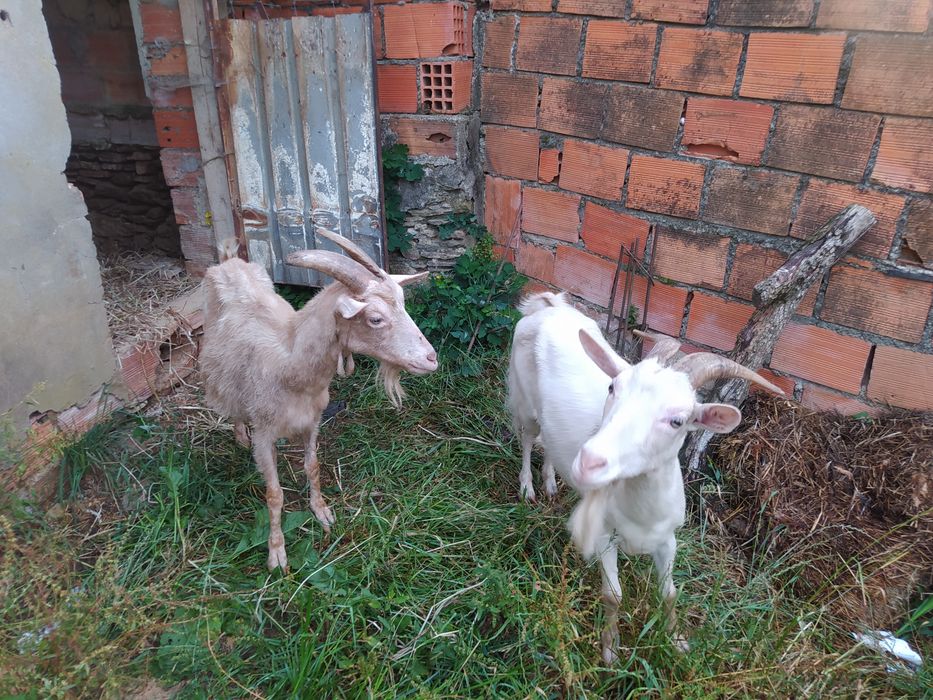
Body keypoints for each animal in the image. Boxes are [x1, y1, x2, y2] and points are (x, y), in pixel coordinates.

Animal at [200, 229, 437, 570]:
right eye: (375, 319)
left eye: (404, 303)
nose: (431, 359)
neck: (290, 366)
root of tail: (229, 260)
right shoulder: (265, 433)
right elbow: (274, 493)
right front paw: (277, 552)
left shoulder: (313, 421)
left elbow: (313, 466)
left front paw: (322, 512)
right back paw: (239, 433)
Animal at [507, 291, 781, 661]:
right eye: (612, 387)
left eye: (678, 420)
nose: (589, 461)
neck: (640, 512)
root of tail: (549, 306)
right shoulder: (604, 537)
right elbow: (613, 595)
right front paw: (610, 651)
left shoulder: (668, 539)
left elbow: (669, 592)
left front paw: (678, 642)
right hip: (524, 400)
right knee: (526, 437)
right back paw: (528, 488)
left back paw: (551, 482)